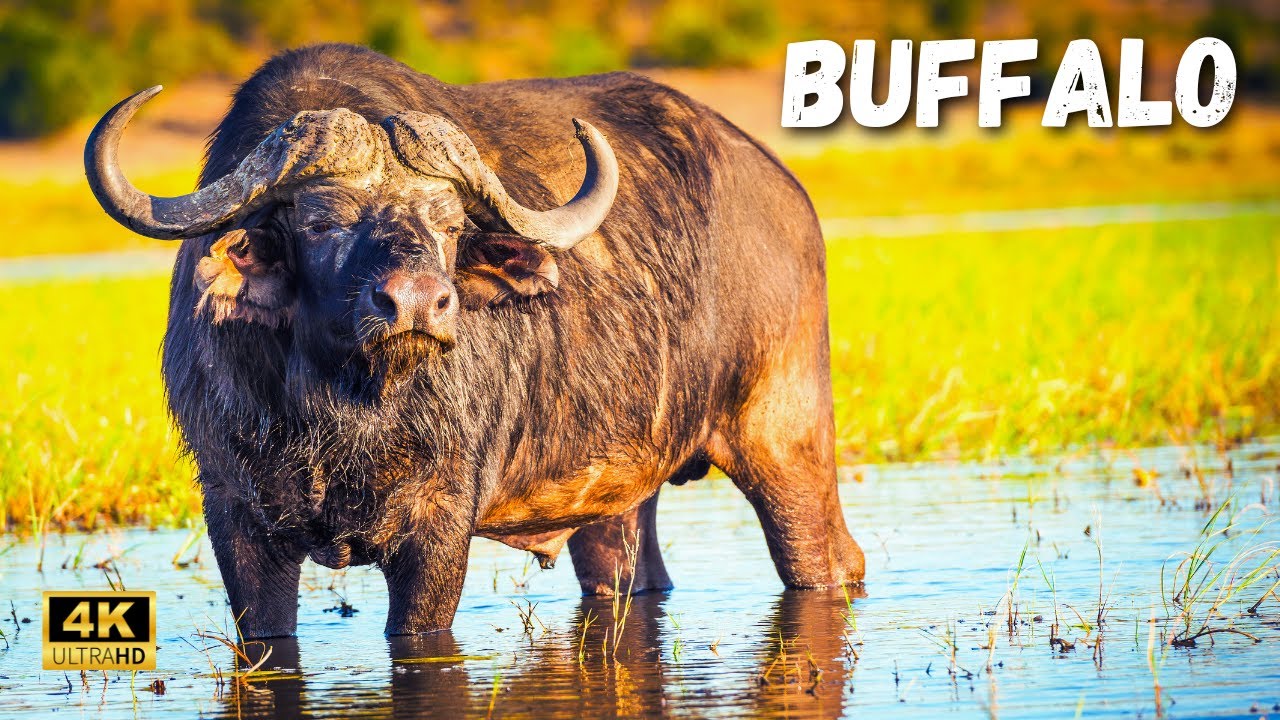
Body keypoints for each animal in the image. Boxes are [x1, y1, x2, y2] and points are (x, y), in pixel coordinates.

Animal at [85, 43, 864, 637]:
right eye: (319, 221)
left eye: (451, 223)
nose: (417, 303)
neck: (341, 409)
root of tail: (784, 190)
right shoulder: (237, 520)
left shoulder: (438, 526)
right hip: (618, 494)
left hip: (786, 442)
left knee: (830, 560)